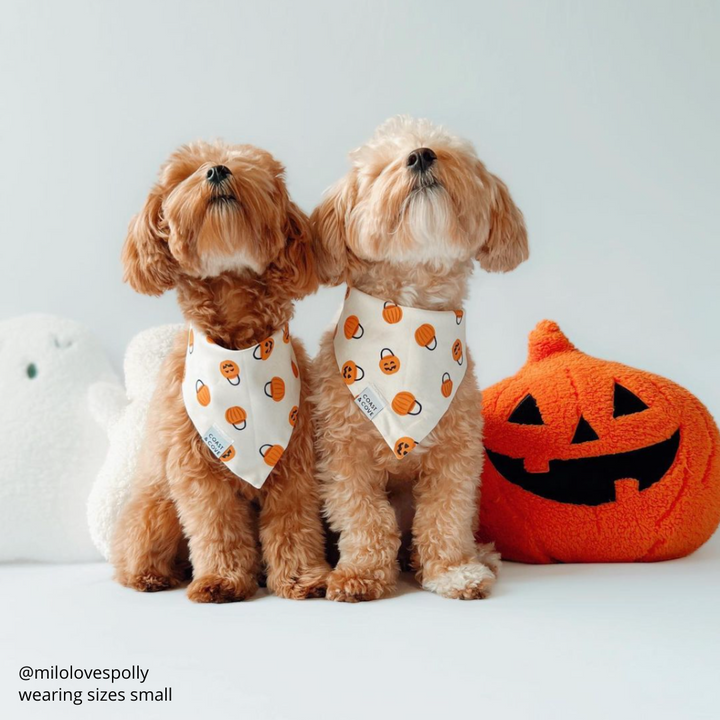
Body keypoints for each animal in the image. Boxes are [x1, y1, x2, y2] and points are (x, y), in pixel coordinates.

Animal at [112, 141, 330, 600]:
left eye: (248, 165)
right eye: (185, 174)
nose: (216, 171)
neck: (241, 355)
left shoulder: (295, 462)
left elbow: (294, 524)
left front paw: (303, 578)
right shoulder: (197, 469)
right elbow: (217, 527)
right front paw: (222, 580)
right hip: (155, 509)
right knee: (135, 554)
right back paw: (152, 576)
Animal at [310, 118, 528, 600]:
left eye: (452, 154)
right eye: (379, 169)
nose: (422, 155)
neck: (410, 318)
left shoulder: (456, 453)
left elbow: (445, 515)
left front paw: (454, 571)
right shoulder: (344, 453)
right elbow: (364, 517)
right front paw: (360, 574)